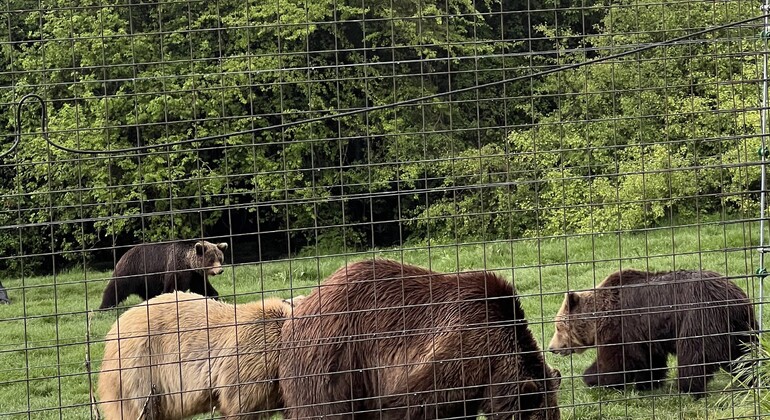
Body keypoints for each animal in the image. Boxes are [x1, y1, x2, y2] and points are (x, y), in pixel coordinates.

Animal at [98, 240, 228, 309]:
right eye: (211, 260)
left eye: (220, 258)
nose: (220, 270)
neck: (189, 263)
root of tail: (125, 253)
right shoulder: (177, 268)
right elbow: (173, 287)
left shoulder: (195, 275)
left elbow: (201, 287)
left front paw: (213, 295)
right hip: (132, 269)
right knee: (117, 287)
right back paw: (105, 306)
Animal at [547, 268, 758, 397]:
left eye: (557, 327)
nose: (551, 348)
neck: (599, 316)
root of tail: (736, 299)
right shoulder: (644, 333)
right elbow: (649, 361)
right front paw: (647, 383)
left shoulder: (622, 327)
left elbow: (616, 360)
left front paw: (592, 378)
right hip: (741, 328)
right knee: (746, 356)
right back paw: (753, 379)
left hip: (701, 318)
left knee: (693, 355)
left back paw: (688, 388)